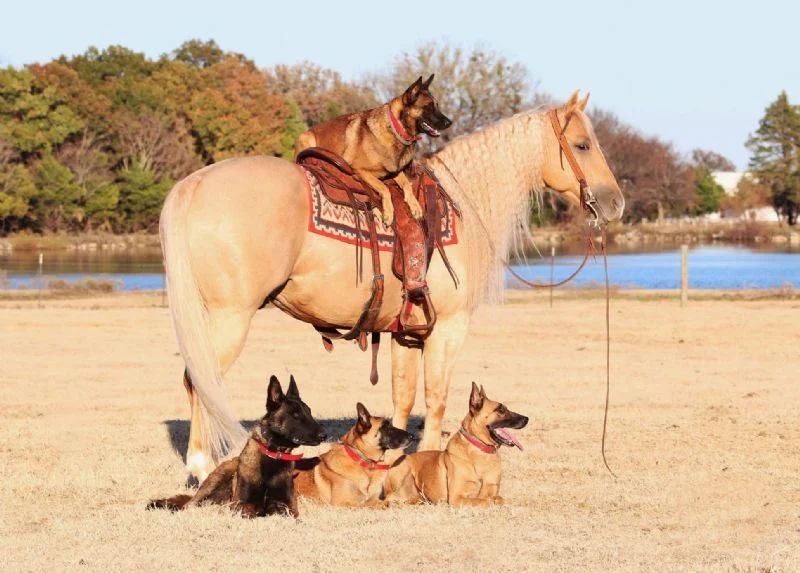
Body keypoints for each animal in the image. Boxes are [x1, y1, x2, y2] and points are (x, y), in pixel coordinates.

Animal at [159, 90, 625, 480]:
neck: (461, 205)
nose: (615, 202)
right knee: (201, 381)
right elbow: (436, 398)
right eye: (582, 145)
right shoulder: (448, 328)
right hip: (229, 318)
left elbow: (403, 398)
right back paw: (200, 466)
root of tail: (192, 185)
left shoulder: (406, 333)